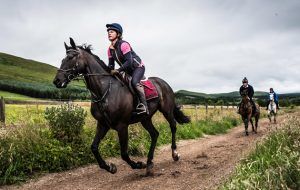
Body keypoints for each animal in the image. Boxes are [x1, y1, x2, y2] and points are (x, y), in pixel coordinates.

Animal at [52, 38, 190, 175]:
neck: (104, 91)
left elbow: (123, 153)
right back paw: (149, 162)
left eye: (71, 58)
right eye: (62, 59)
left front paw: (138, 164)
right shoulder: (103, 124)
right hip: (145, 118)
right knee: (155, 134)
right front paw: (110, 167)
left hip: (167, 110)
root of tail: (164, 83)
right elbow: (94, 147)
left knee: (173, 126)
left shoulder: (122, 126)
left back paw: (174, 154)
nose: (57, 81)